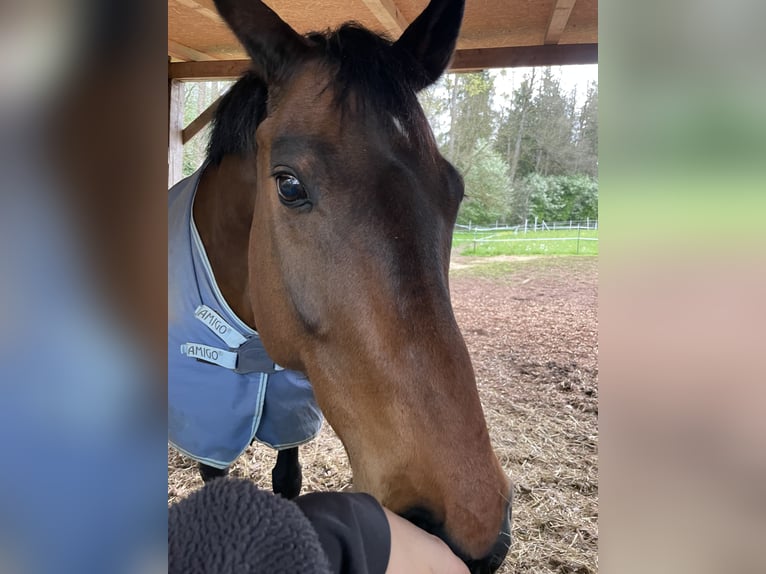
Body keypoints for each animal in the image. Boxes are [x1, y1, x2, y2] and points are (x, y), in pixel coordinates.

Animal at [168, 0, 512, 570]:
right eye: (288, 185)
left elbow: (288, 480)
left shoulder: (291, 411)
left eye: (455, 190)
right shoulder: (210, 426)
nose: (476, 518)